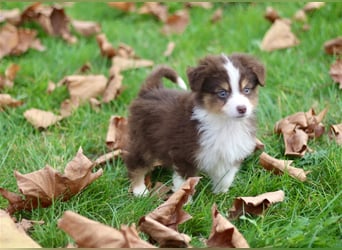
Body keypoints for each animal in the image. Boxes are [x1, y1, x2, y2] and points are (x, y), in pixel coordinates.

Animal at [124, 53, 266, 196]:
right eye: (222, 93)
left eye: (246, 90)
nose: (242, 109)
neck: (225, 123)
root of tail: (151, 90)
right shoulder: (184, 155)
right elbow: (185, 185)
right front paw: (184, 201)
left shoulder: (230, 154)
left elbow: (225, 178)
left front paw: (221, 195)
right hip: (143, 140)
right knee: (136, 163)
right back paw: (139, 190)